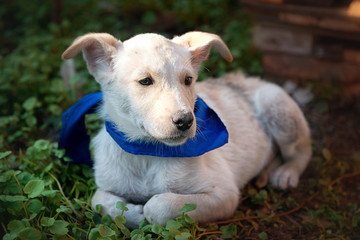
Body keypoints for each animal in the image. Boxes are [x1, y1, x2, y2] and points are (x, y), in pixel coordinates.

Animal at [62, 31, 312, 229]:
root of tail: (254, 80)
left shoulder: (224, 194)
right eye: (145, 81)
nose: (185, 121)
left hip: (274, 102)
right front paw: (131, 213)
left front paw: (145, 210)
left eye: (188, 80)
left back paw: (285, 173)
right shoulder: (107, 184)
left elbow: (161, 204)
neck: (149, 153)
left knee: (302, 151)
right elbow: (99, 201)